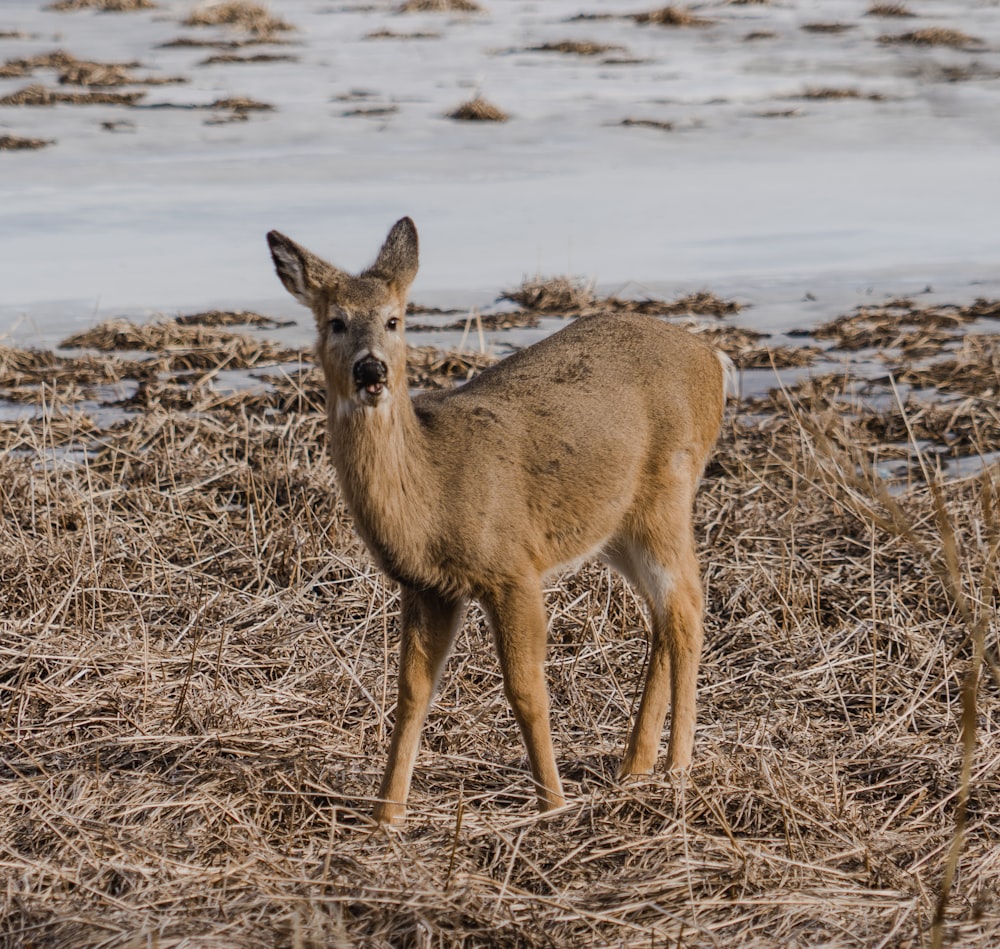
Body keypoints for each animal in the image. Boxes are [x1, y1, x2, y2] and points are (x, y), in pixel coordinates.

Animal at [266, 217, 736, 824]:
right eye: (335, 321)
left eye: (395, 319)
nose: (371, 369)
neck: (434, 494)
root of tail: (713, 357)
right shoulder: (427, 587)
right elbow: (412, 693)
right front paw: (386, 816)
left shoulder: (512, 567)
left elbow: (525, 690)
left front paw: (552, 804)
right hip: (617, 525)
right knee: (663, 612)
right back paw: (634, 767)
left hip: (668, 493)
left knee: (687, 607)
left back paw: (676, 768)